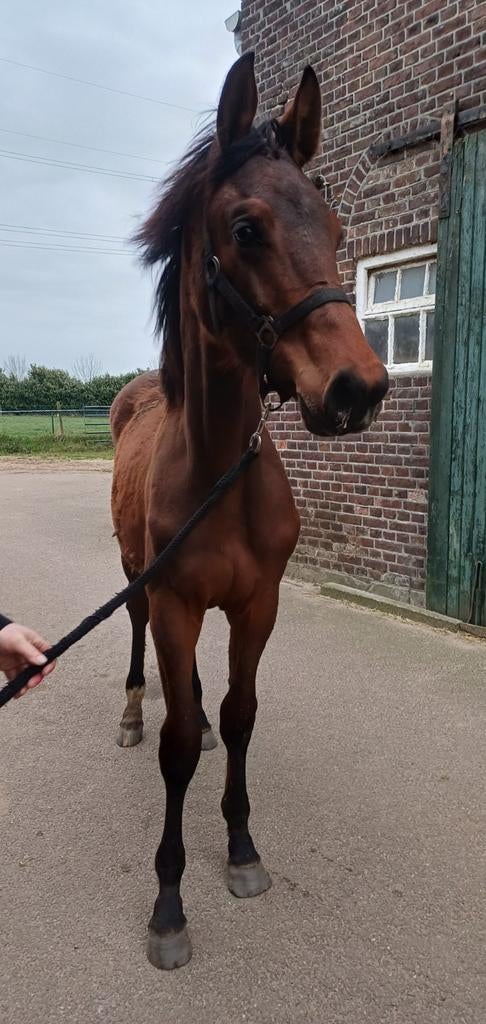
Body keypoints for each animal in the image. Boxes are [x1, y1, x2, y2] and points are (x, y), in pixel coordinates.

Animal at [110, 52, 388, 970]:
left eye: (335, 226)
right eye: (245, 229)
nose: (358, 390)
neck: (218, 476)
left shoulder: (257, 604)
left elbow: (236, 718)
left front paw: (240, 849)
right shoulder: (175, 600)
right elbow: (177, 748)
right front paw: (168, 905)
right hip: (138, 579)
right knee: (138, 645)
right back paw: (133, 710)